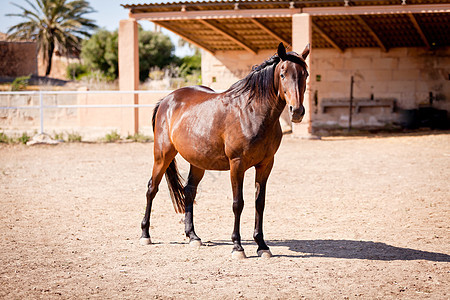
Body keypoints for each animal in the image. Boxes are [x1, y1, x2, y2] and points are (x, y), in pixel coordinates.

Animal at [141, 42, 310, 258]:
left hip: (198, 162)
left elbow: (259, 203)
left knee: (189, 191)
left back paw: (193, 236)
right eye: (282, 74)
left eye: (305, 74)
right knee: (151, 189)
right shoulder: (237, 165)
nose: (296, 111)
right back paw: (145, 234)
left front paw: (262, 245)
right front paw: (237, 246)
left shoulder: (266, 165)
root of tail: (166, 100)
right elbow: (238, 203)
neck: (252, 112)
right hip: (162, 155)